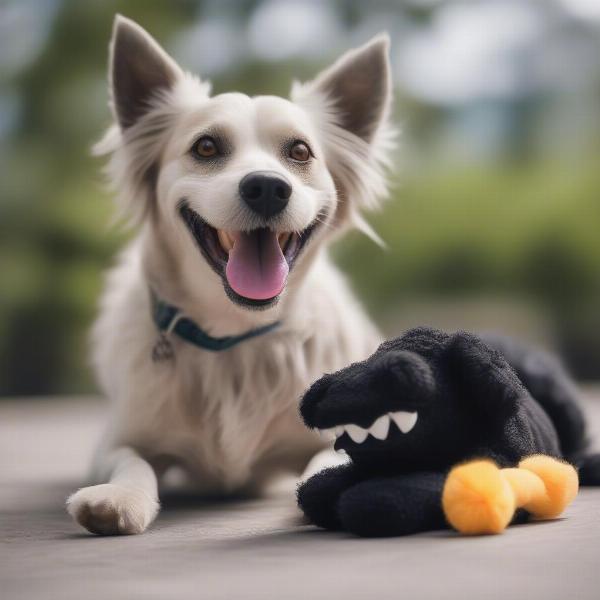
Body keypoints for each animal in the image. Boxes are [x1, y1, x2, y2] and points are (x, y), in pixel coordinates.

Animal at [67, 15, 394, 536]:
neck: (234, 337)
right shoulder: (117, 439)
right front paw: (118, 499)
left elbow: (330, 457)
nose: (267, 187)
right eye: (205, 146)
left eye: (300, 151)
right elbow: (131, 463)